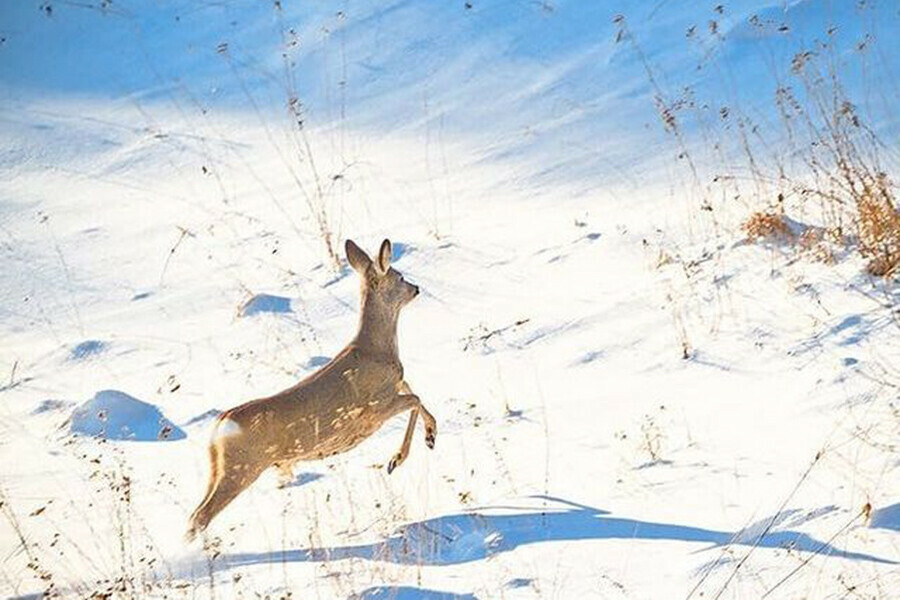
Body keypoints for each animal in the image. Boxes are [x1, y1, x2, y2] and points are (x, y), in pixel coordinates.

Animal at [186, 241, 436, 540]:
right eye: (399, 277)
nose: (416, 288)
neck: (376, 349)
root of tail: (219, 426)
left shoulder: (392, 389)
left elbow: (414, 392)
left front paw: (430, 436)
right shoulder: (373, 409)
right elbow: (414, 399)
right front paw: (398, 459)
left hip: (221, 469)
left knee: (196, 512)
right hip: (241, 468)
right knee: (200, 516)